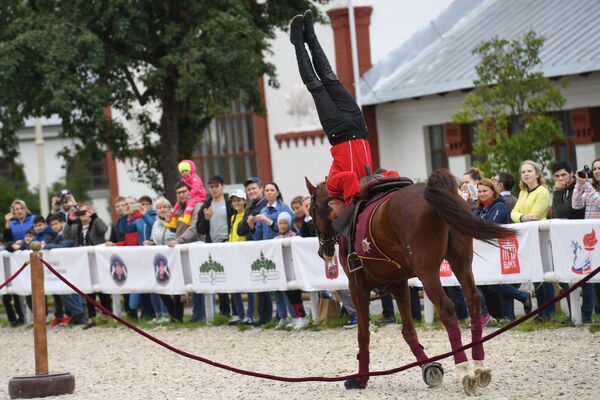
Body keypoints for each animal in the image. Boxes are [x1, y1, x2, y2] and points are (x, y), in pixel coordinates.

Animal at [308, 170, 512, 396]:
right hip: (461, 263)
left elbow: (363, 334)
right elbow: (408, 330)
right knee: (474, 300)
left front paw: (361, 378)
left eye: (312, 209)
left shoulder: (357, 288)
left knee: (447, 308)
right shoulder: (398, 283)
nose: (322, 251)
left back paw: (464, 370)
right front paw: (428, 367)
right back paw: (479, 366)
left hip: (427, 272)